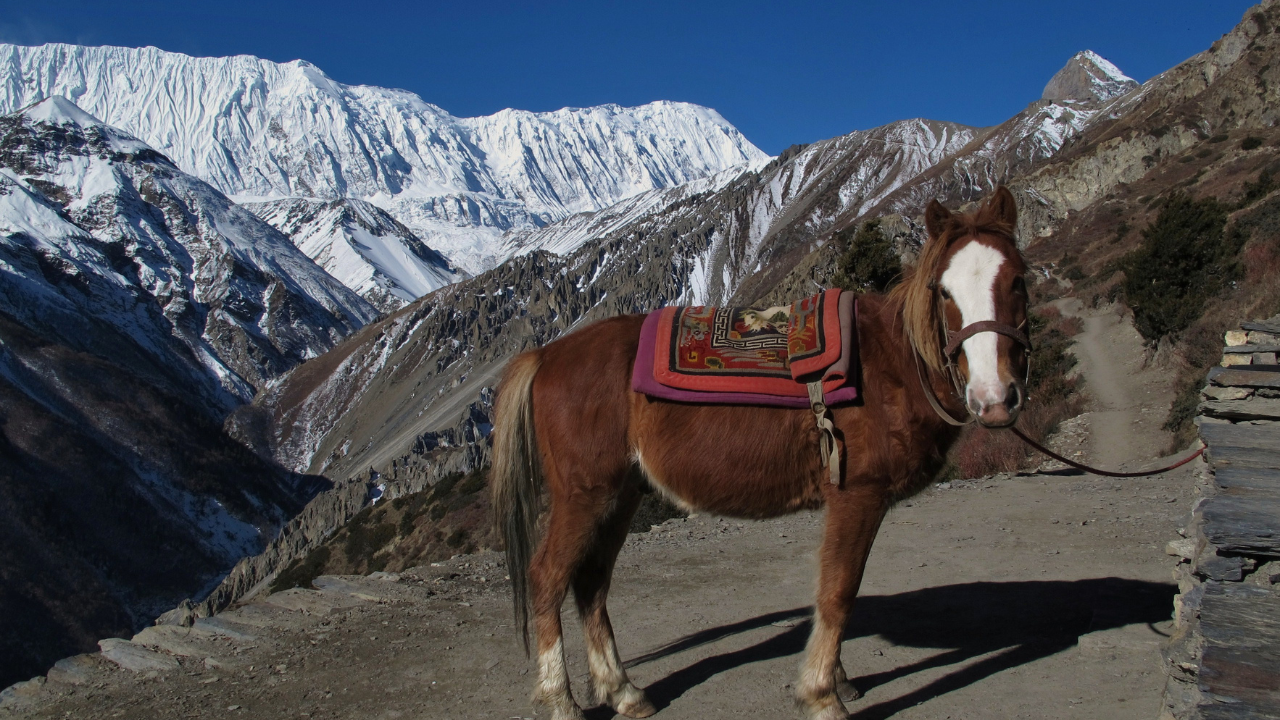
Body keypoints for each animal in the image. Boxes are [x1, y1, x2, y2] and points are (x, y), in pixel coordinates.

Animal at [488, 185, 1029, 717]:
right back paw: (562, 700)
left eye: (1017, 281)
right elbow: (839, 590)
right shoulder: (858, 495)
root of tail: (548, 354)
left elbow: (831, 587)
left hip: (620, 497)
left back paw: (625, 692)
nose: (994, 399)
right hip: (584, 496)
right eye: (944, 290)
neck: (892, 365)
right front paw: (822, 694)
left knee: (591, 584)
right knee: (548, 577)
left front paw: (837, 678)